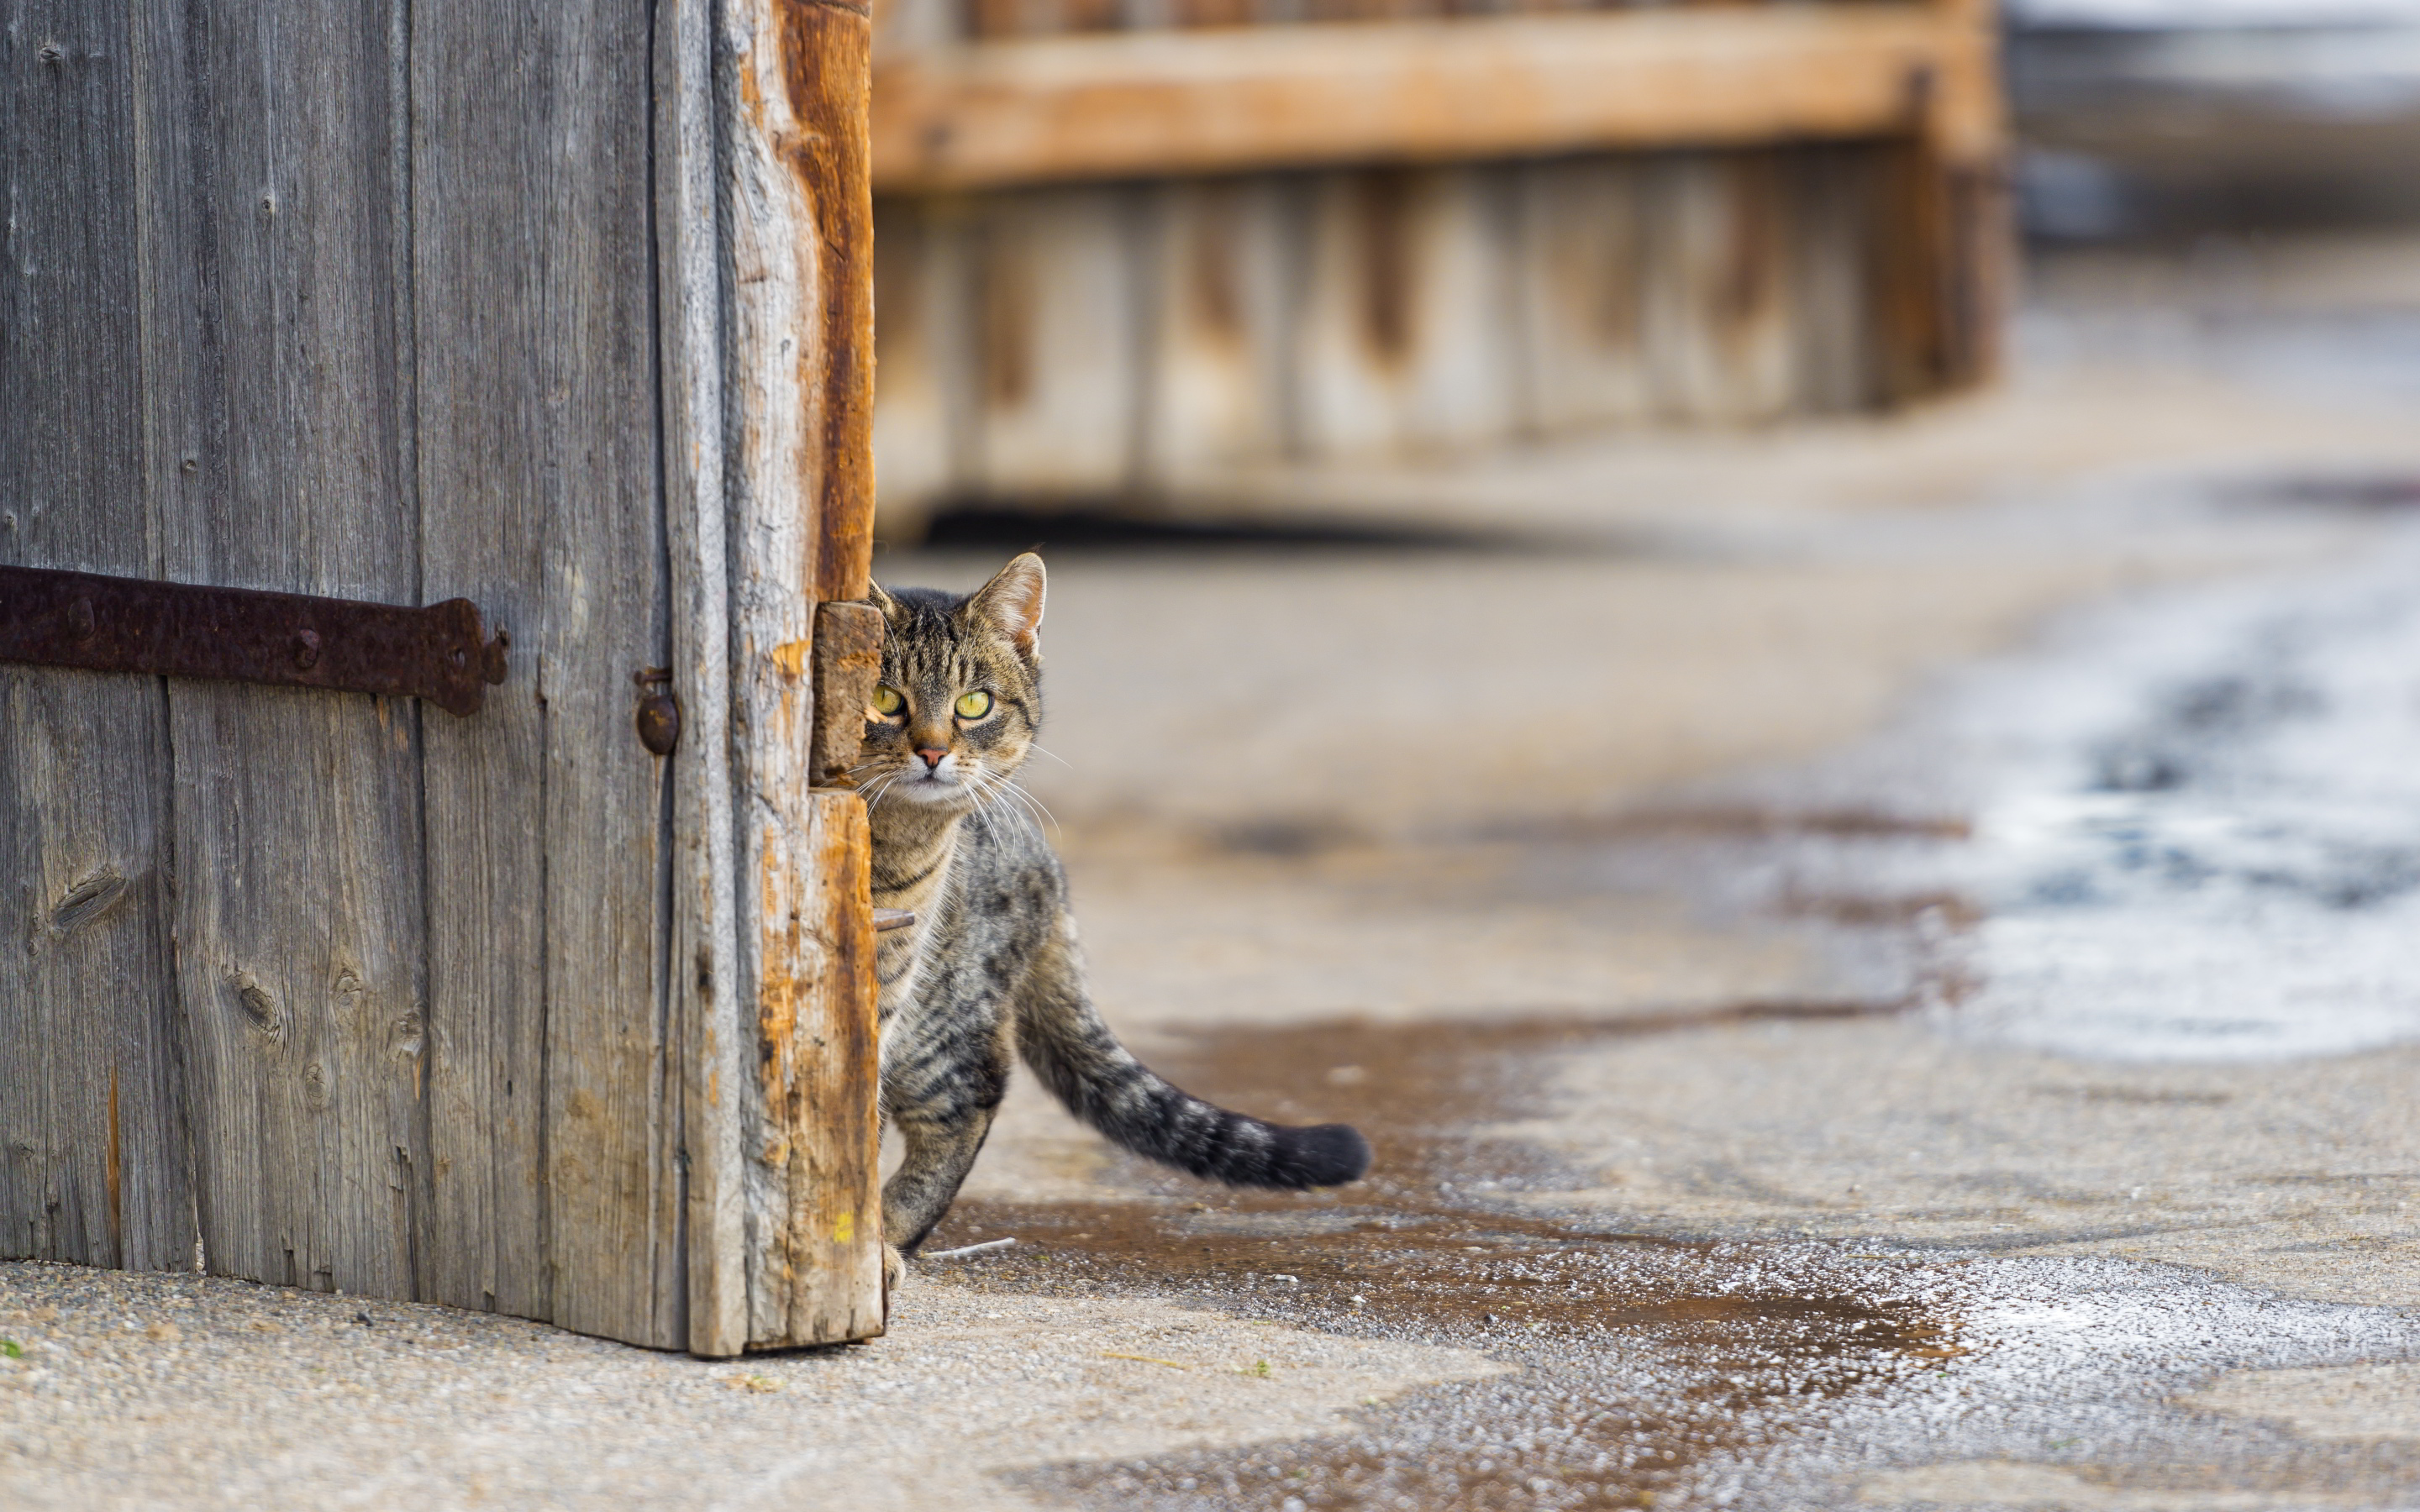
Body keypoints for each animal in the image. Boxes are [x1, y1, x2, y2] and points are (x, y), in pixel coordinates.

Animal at [861, 549, 1374, 1268]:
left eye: (973, 704)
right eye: (883, 698)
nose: (932, 752)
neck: (896, 847)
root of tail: (1046, 861)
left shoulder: (891, 984)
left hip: (943, 1015)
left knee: (972, 1096)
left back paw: (892, 1232)